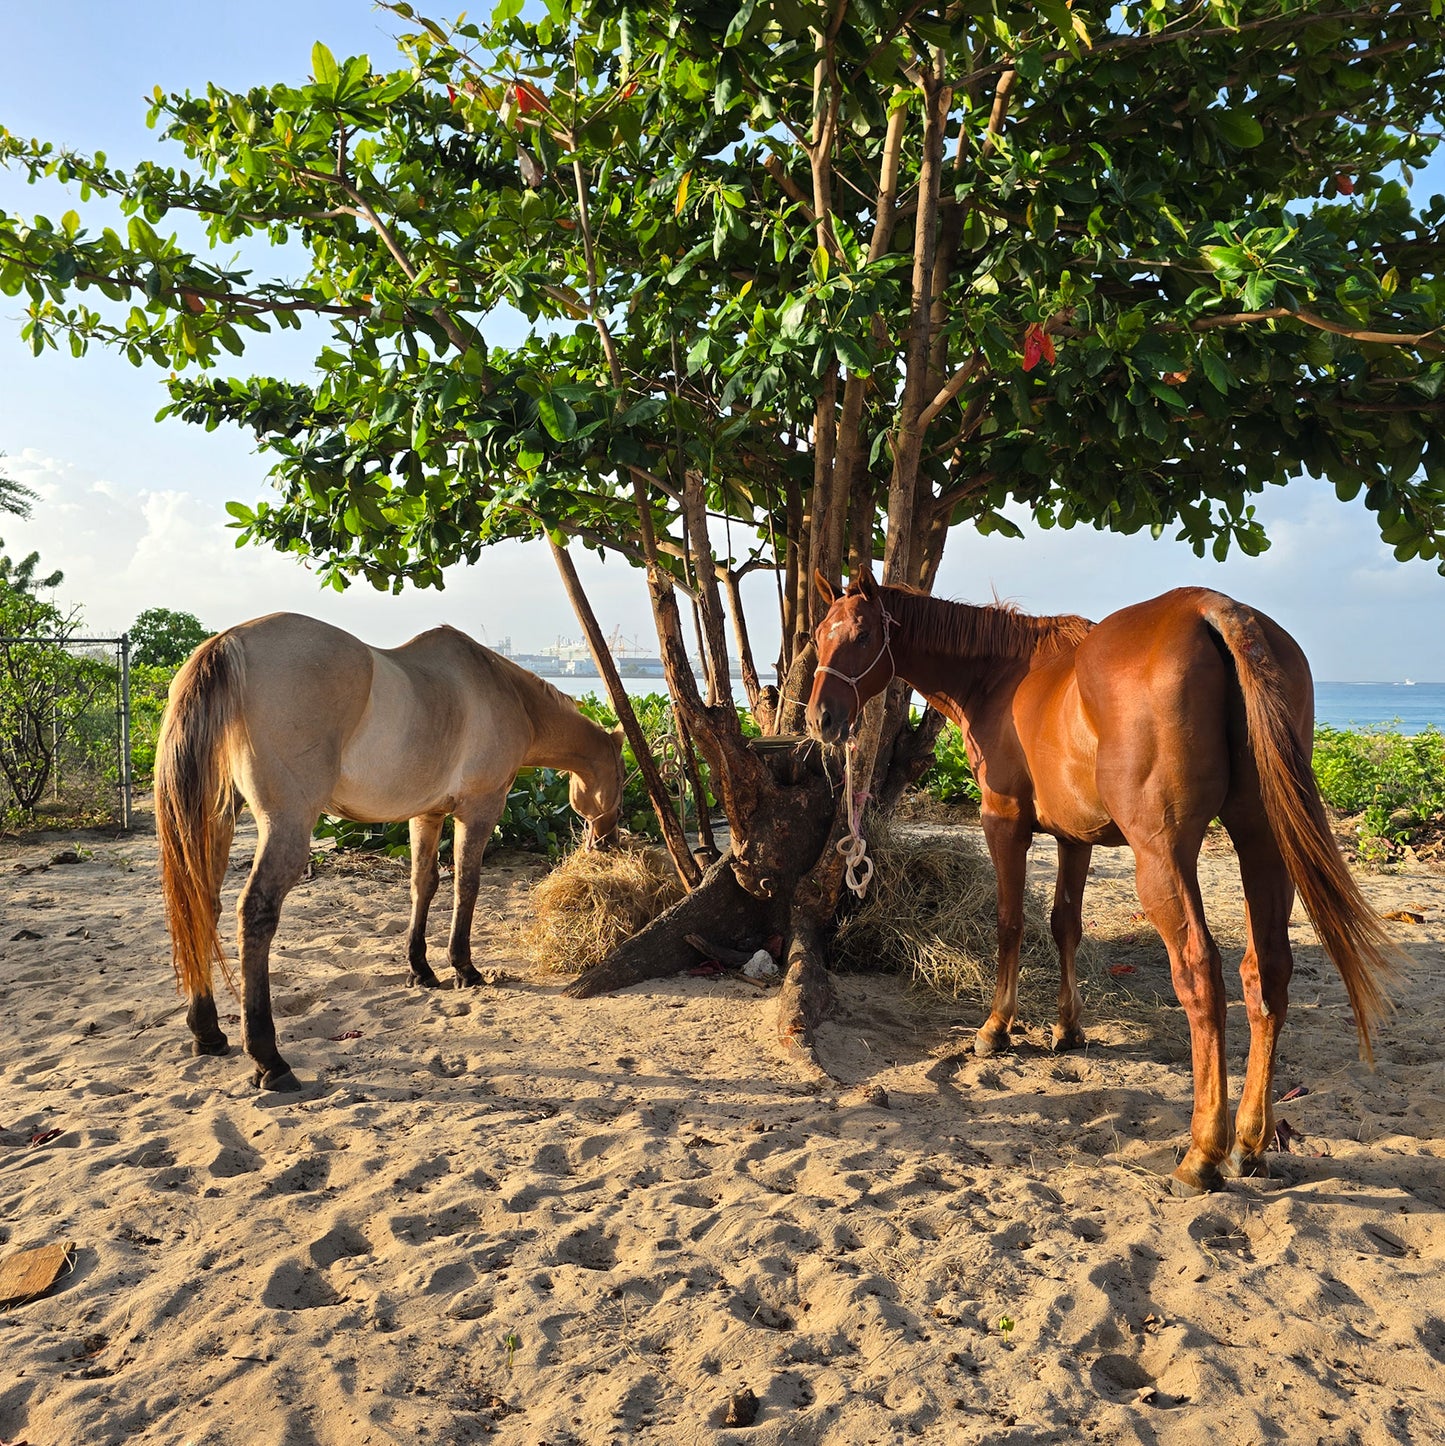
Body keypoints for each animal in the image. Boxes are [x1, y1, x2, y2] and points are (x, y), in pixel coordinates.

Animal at [155, 612, 626, 1092]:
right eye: (623, 777)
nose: (608, 840)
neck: (504, 691)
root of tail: (228, 643)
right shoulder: (480, 809)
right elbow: (467, 885)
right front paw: (464, 968)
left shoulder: (427, 814)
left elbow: (424, 884)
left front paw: (421, 969)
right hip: (286, 825)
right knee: (255, 912)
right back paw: (270, 1059)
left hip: (215, 820)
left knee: (203, 905)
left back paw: (208, 1033)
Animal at [806, 571, 1395, 1196]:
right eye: (820, 635)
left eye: (863, 635)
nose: (820, 719)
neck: (1001, 676)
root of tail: (1216, 611)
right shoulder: (1074, 838)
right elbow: (1065, 924)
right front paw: (1068, 1028)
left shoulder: (1003, 822)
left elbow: (1011, 923)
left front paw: (996, 1028)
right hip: (1262, 841)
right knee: (1267, 972)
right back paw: (1250, 1145)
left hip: (1162, 856)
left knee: (1200, 973)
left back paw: (1202, 1154)